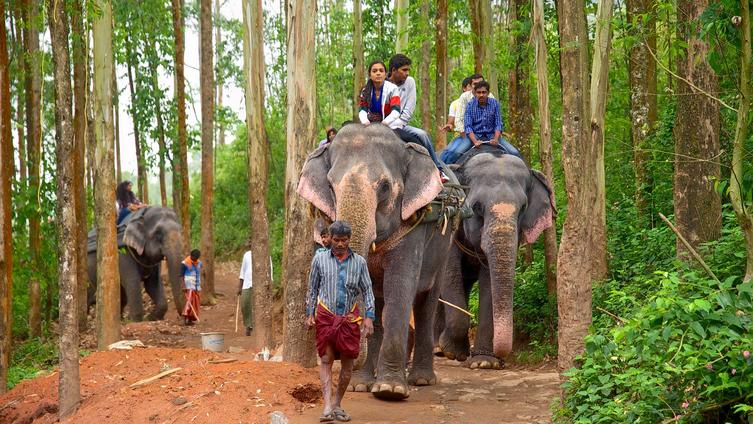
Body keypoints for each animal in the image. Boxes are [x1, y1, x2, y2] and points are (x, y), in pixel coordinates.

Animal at [297, 124, 463, 400]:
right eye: (330, 185)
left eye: (385, 186)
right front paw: (360, 385)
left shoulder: (412, 225)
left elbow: (400, 287)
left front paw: (390, 390)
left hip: (444, 246)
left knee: (426, 303)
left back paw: (421, 379)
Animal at [435, 146, 555, 369]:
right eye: (477, 208)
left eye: (523, 208)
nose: (503, 360)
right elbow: (449, 271)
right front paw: (452, 352)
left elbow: (489, 280)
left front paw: (484, 362)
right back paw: (438, 349)